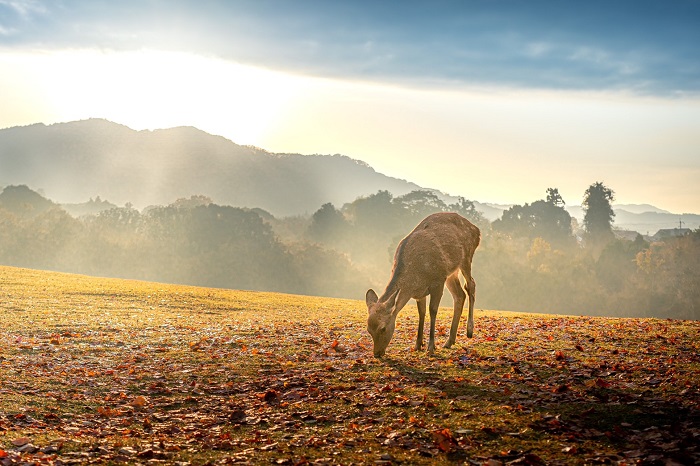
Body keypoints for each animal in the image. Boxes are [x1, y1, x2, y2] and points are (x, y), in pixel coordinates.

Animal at [364, 213, 478, 358]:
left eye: (383, 328)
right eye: (368, 329)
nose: (377, 353)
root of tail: (477, 230)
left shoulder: (437, 281)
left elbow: (432, 310)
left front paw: (431, 347)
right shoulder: (419, 292)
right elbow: (421, 313)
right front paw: (418, 345)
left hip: (466, 258)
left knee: (471, 285)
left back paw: (469, 331)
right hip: (451, 273)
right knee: (460, 295)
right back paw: (449, 341)